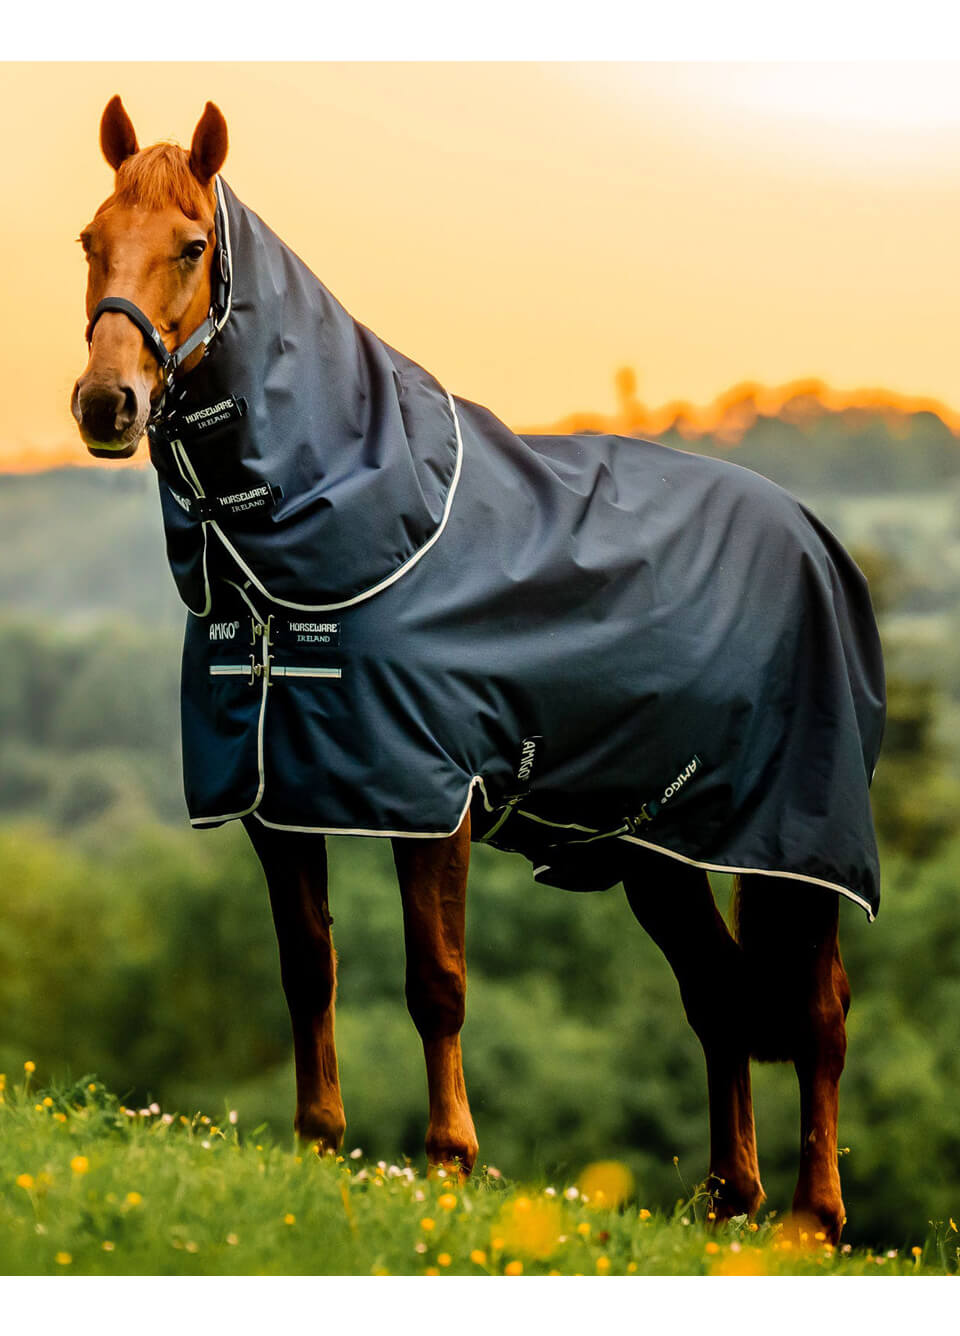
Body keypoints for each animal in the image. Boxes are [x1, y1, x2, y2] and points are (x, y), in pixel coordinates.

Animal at [72, 97, 885, 1245]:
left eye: (191, 246)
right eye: (89, 241)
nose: (107, 405)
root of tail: (816, 539)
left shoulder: (429, 796)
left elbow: (437, 982)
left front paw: (450, 1161)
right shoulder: (276, 798)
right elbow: (307, 969)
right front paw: (317, 1144)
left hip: (797, 843)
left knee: (818, 1011)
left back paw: (813, 1219)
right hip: (660, 847)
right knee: (720, 994)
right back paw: (731, 1200)